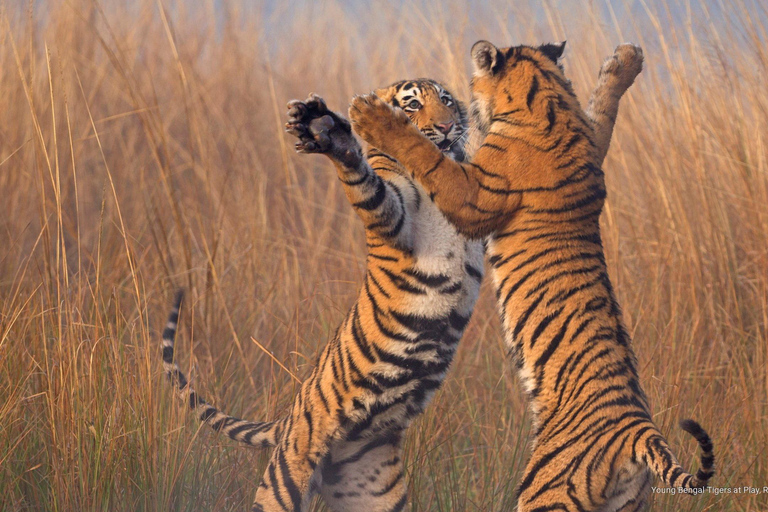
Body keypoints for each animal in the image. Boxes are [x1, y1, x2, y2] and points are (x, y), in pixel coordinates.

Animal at [160, 50, 640, 510]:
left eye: (446, 100)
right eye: (412, 105)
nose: (446, 127)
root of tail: (289, 416)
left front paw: (621, 66)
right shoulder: (398, 219)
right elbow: (367, 183)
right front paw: (334, 135)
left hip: (374, 491)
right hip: (285, 477)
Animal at [344, 43, 712, 512]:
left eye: (449, 98)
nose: (449, 123)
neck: (548, 101)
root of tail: (637, 431)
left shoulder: (473, 195)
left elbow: (427, 157)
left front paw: (373, 116)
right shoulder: (592, 142)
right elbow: (602, 110)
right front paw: (624, 61)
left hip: (545, 491)